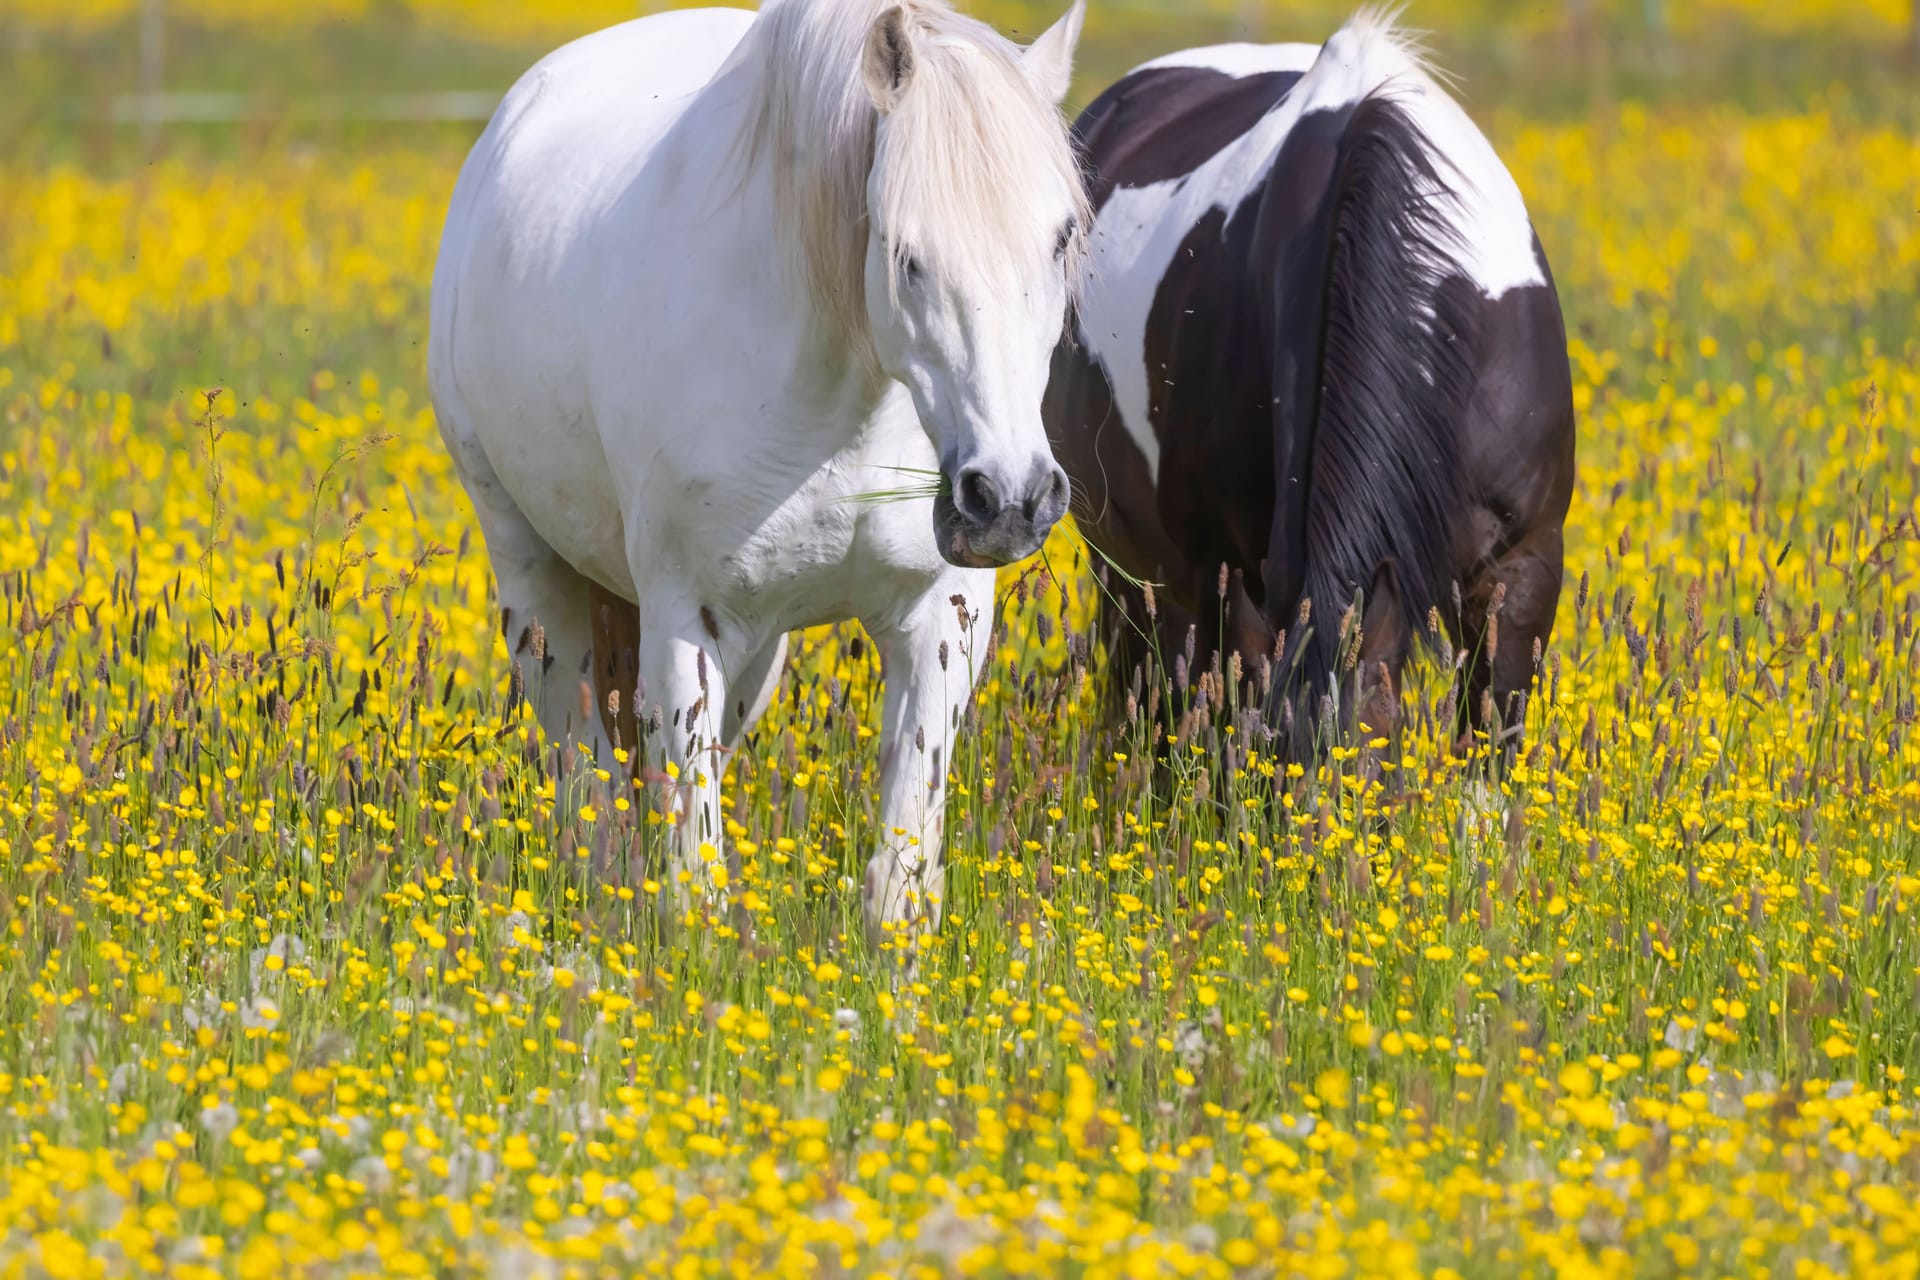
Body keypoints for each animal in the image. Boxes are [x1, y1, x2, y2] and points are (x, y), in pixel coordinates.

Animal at [433, 0, 1090, 940]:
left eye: (1061, 238)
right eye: (905, 252)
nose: (1008, 499)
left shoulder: (940, 623)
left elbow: (898, 876)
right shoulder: (685, 626)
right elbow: (693, 875)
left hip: (757, 657)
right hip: (535, 582)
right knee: (587, 771)